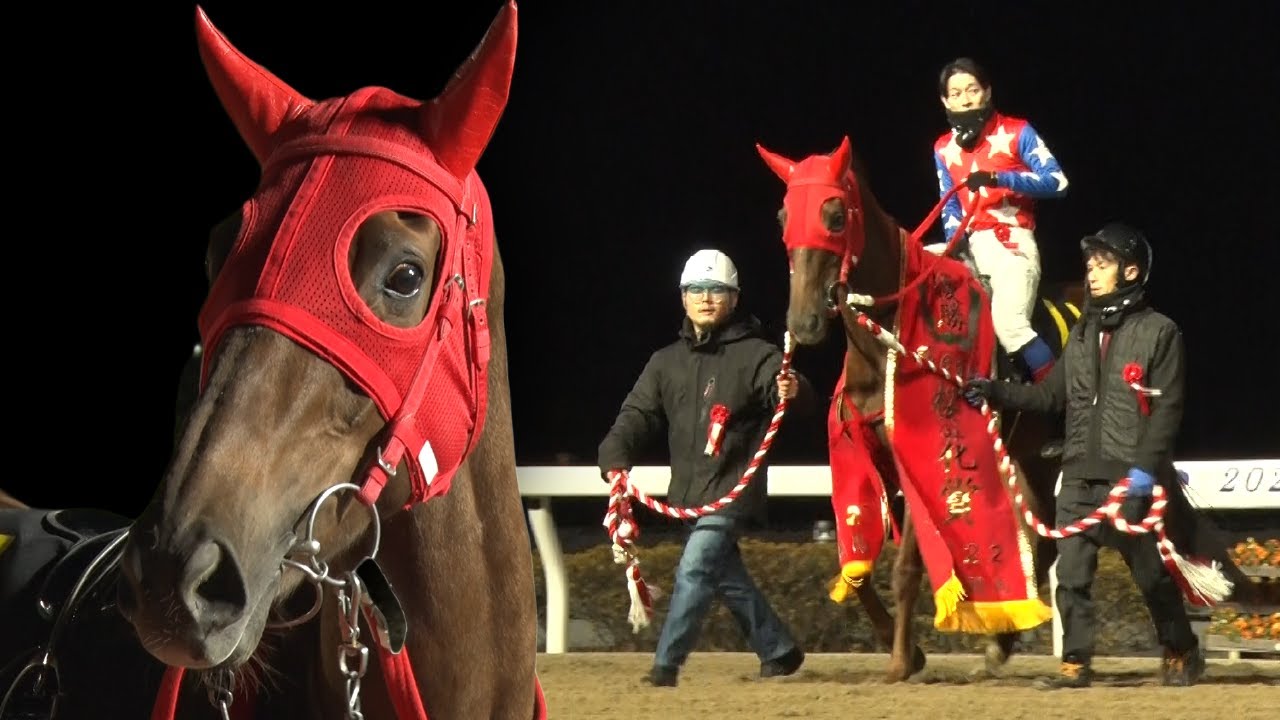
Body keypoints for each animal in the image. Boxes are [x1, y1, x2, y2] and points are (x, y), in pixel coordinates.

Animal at [756, 136, 1076, 683]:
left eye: (835, 215)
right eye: (782, 216)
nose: (804, 322)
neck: (882, 342)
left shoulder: (918, 456)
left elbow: (906, 568)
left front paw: (902, 661)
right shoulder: (869, 458)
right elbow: (856, 569)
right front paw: (904, 648)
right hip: (1024, 457)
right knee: (1042, 536)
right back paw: (1000, 644)